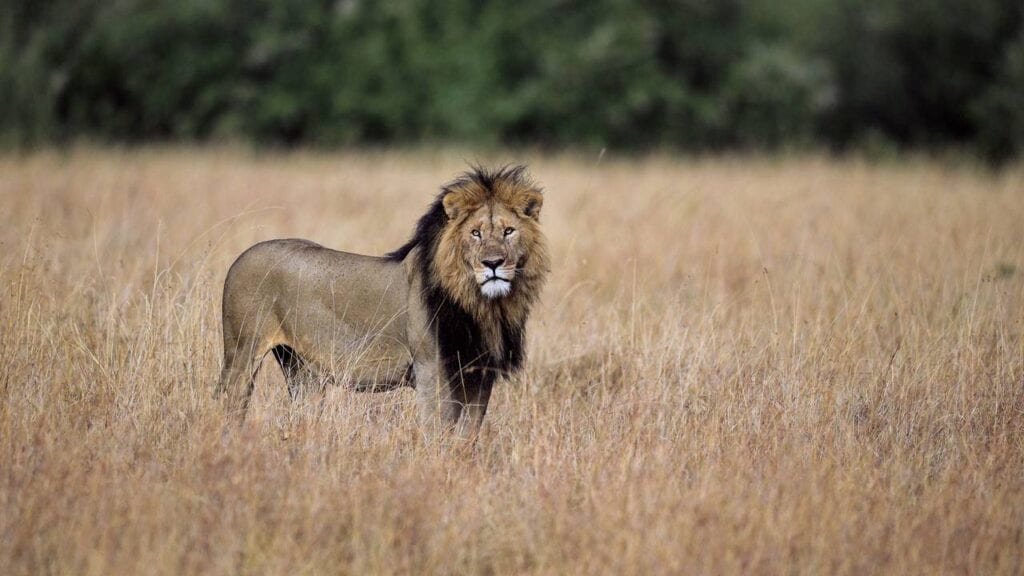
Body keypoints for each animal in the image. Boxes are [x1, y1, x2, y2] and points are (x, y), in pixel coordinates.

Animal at [215, 166, 549, 439]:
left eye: (508, 231)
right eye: (475, 233)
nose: (493, 264)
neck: (481, 306)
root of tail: (240, 257)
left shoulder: (480, 374)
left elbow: (468, 435)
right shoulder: (432, 370)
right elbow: (439, 431)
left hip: (302, 369)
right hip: (242, 353)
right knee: (231, 404)